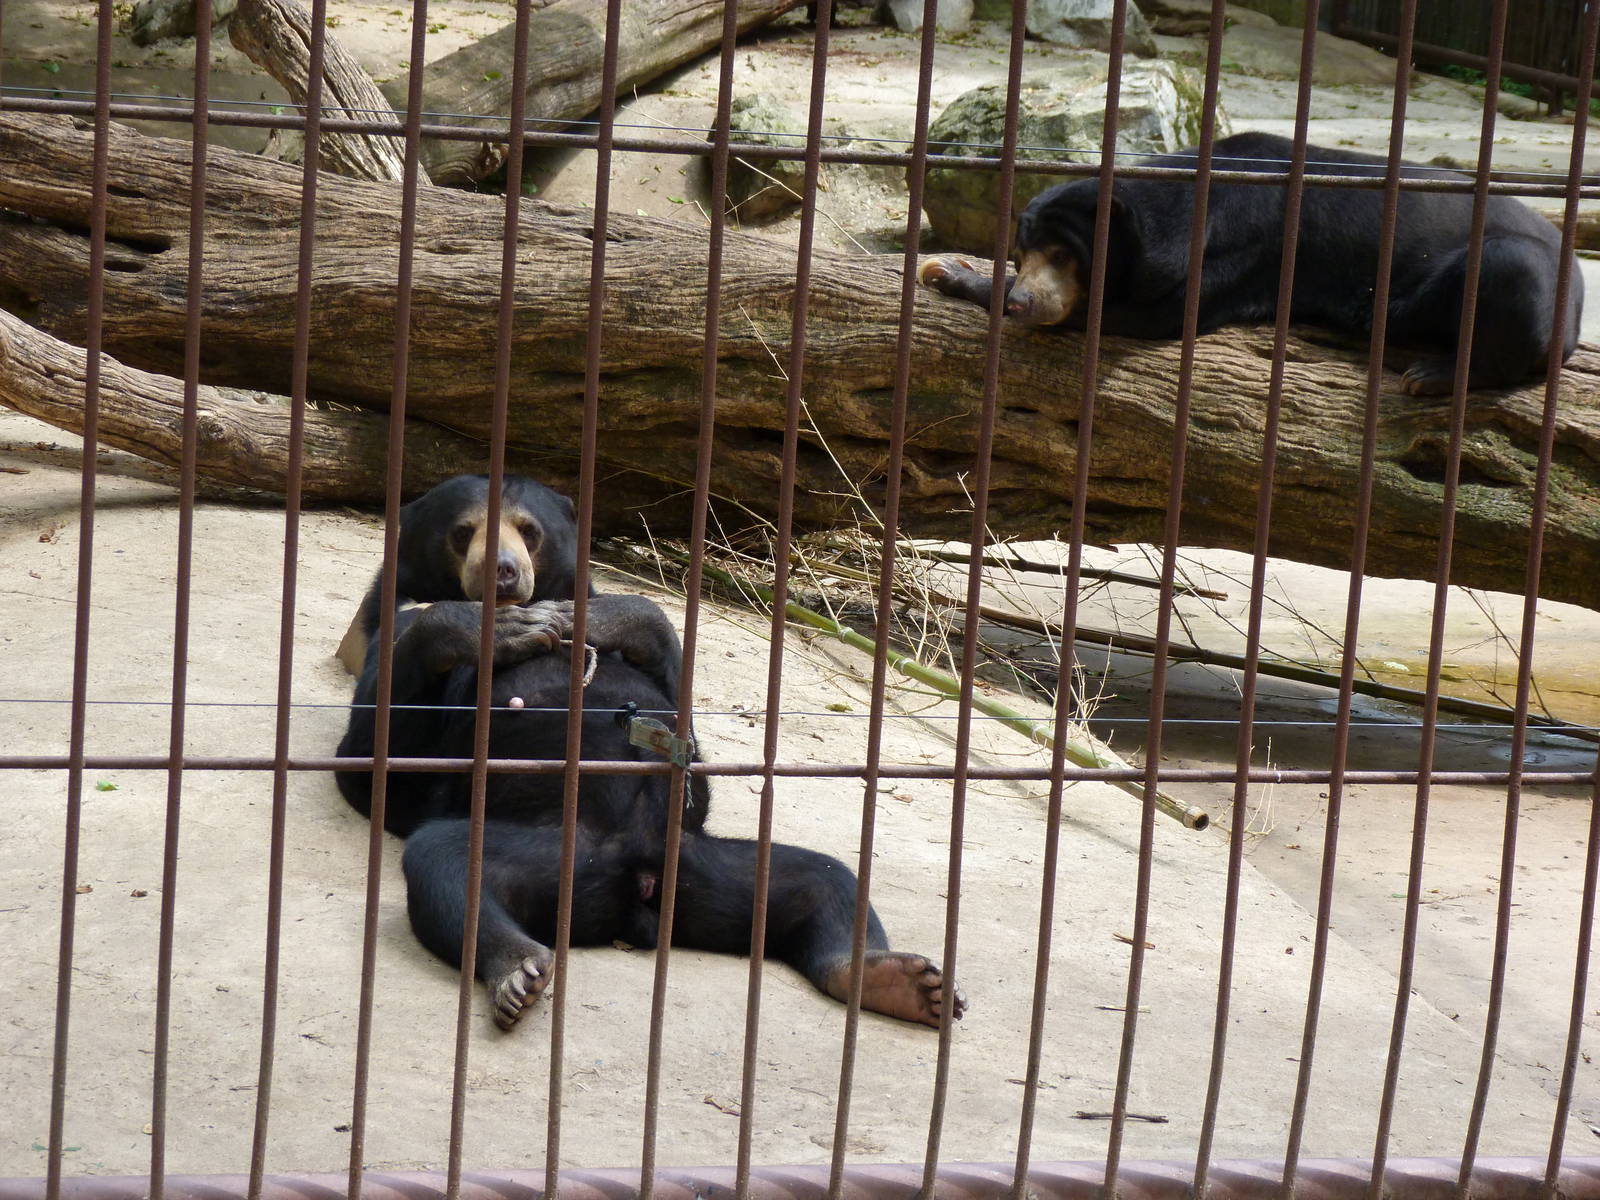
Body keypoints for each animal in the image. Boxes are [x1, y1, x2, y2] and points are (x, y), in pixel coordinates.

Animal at [335, 473, 966, 1030]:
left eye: (528, 531)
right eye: (463, 532)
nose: (503, 572)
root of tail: (634, 888)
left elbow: (679, 716)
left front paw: (594, 617)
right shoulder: (393, 638)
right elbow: (377, 766)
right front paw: (503, 628)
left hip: (707, 864)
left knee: (825, 881)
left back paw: (901, 983)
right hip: (549, 853)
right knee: (448, 862)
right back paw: (518, 968)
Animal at [918, 131, 1583, 396]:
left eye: (1063, 255)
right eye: (1024, 251)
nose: (1023, 302)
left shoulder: (1236, 256)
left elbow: (1132, 313)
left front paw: (950, 274)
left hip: (1529, 277)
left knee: (1507, 274)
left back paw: (1431, 375)